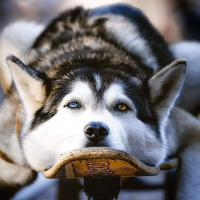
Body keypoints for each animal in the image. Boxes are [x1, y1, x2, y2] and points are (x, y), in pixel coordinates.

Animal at [0, 3, 200, 200]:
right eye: (73, 104)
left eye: (122, 107)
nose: (96, 130)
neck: (94, 55)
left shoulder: (189, 132)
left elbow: (189, 188)